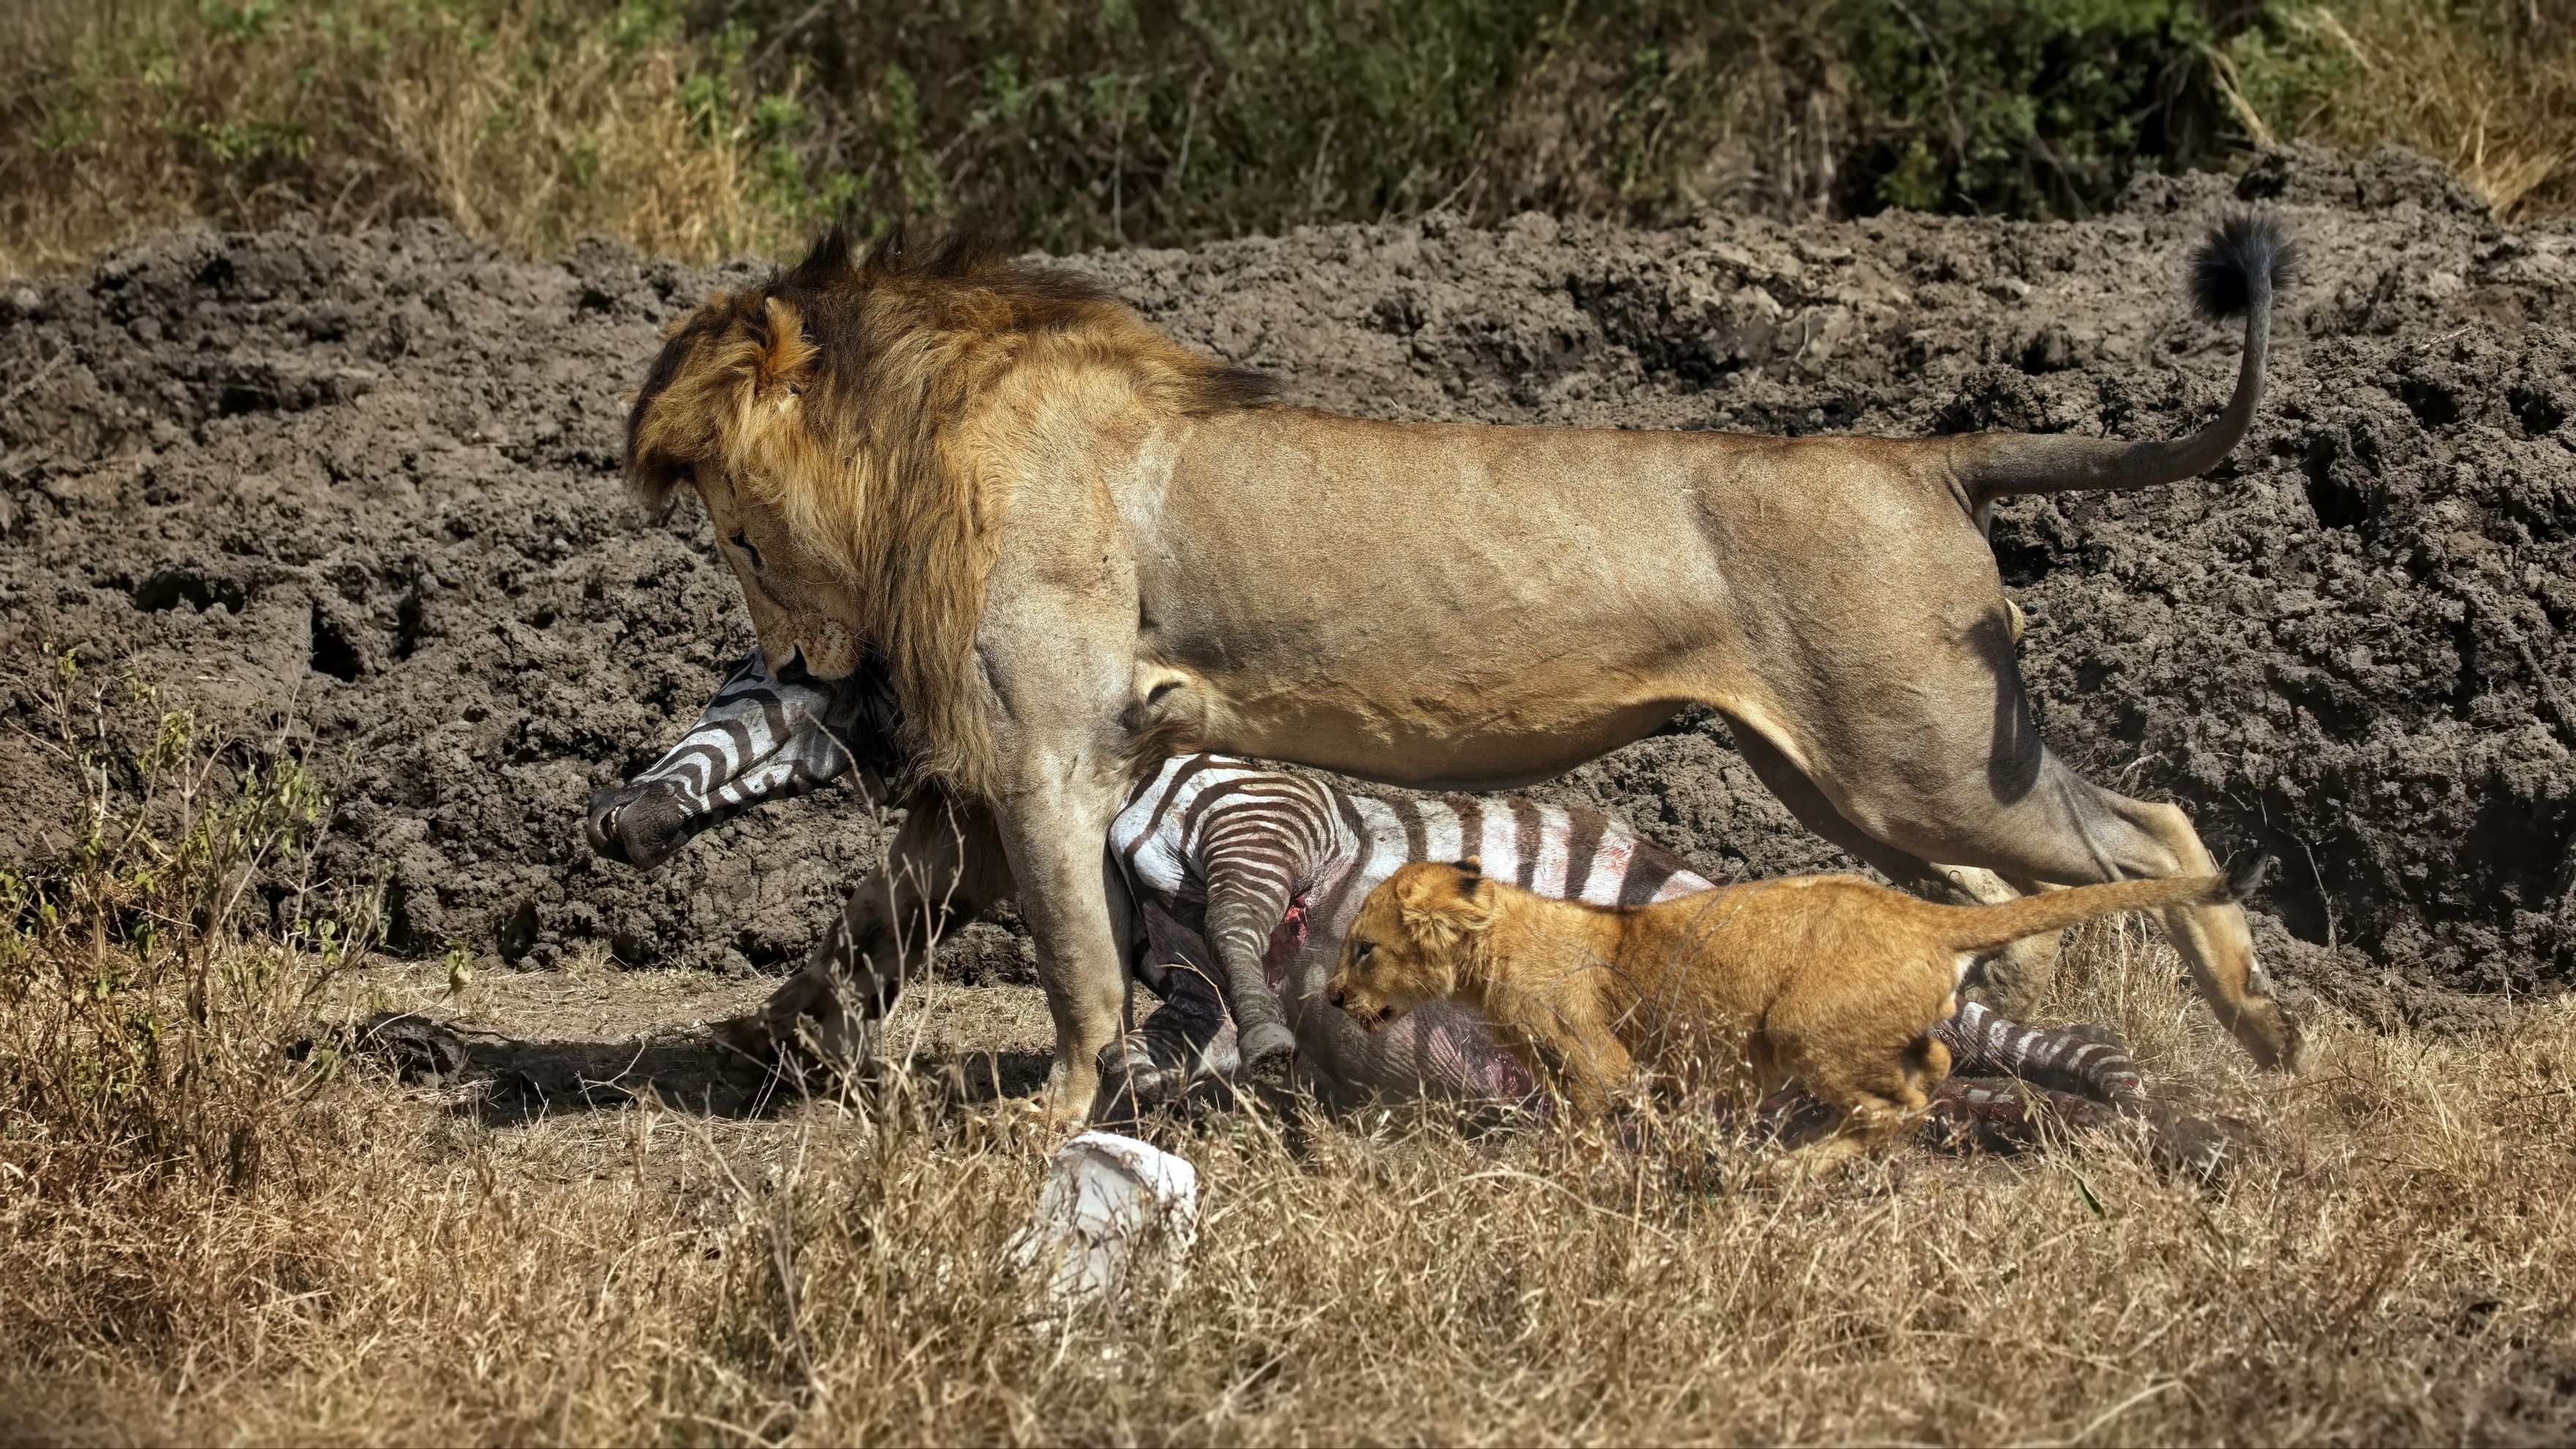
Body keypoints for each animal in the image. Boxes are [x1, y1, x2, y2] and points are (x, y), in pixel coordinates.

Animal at [628, 209, 2318, 1103]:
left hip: (1925, 753)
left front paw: (1045, 1115)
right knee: (1997, 898)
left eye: (730, 534)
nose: (800, 653)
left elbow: (1072, 967)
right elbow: (874, 918)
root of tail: (1925, 456)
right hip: (1847, 769)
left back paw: (2266, 1035)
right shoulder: (1011, 774)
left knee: (2154, 833)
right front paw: (765, 1039)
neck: (915, 439)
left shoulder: (1052, 747)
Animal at [1329, 850, 2256, 1165]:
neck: (1493, 945)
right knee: (1934, 1062)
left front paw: (1562, 1178)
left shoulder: (1601, 1064)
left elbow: (1583, 1126)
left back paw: (1791, 1168)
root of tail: (1922, 914)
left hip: (1802, 1028)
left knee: (1899, 1103)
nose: (1332, 996)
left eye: (1363, 947)